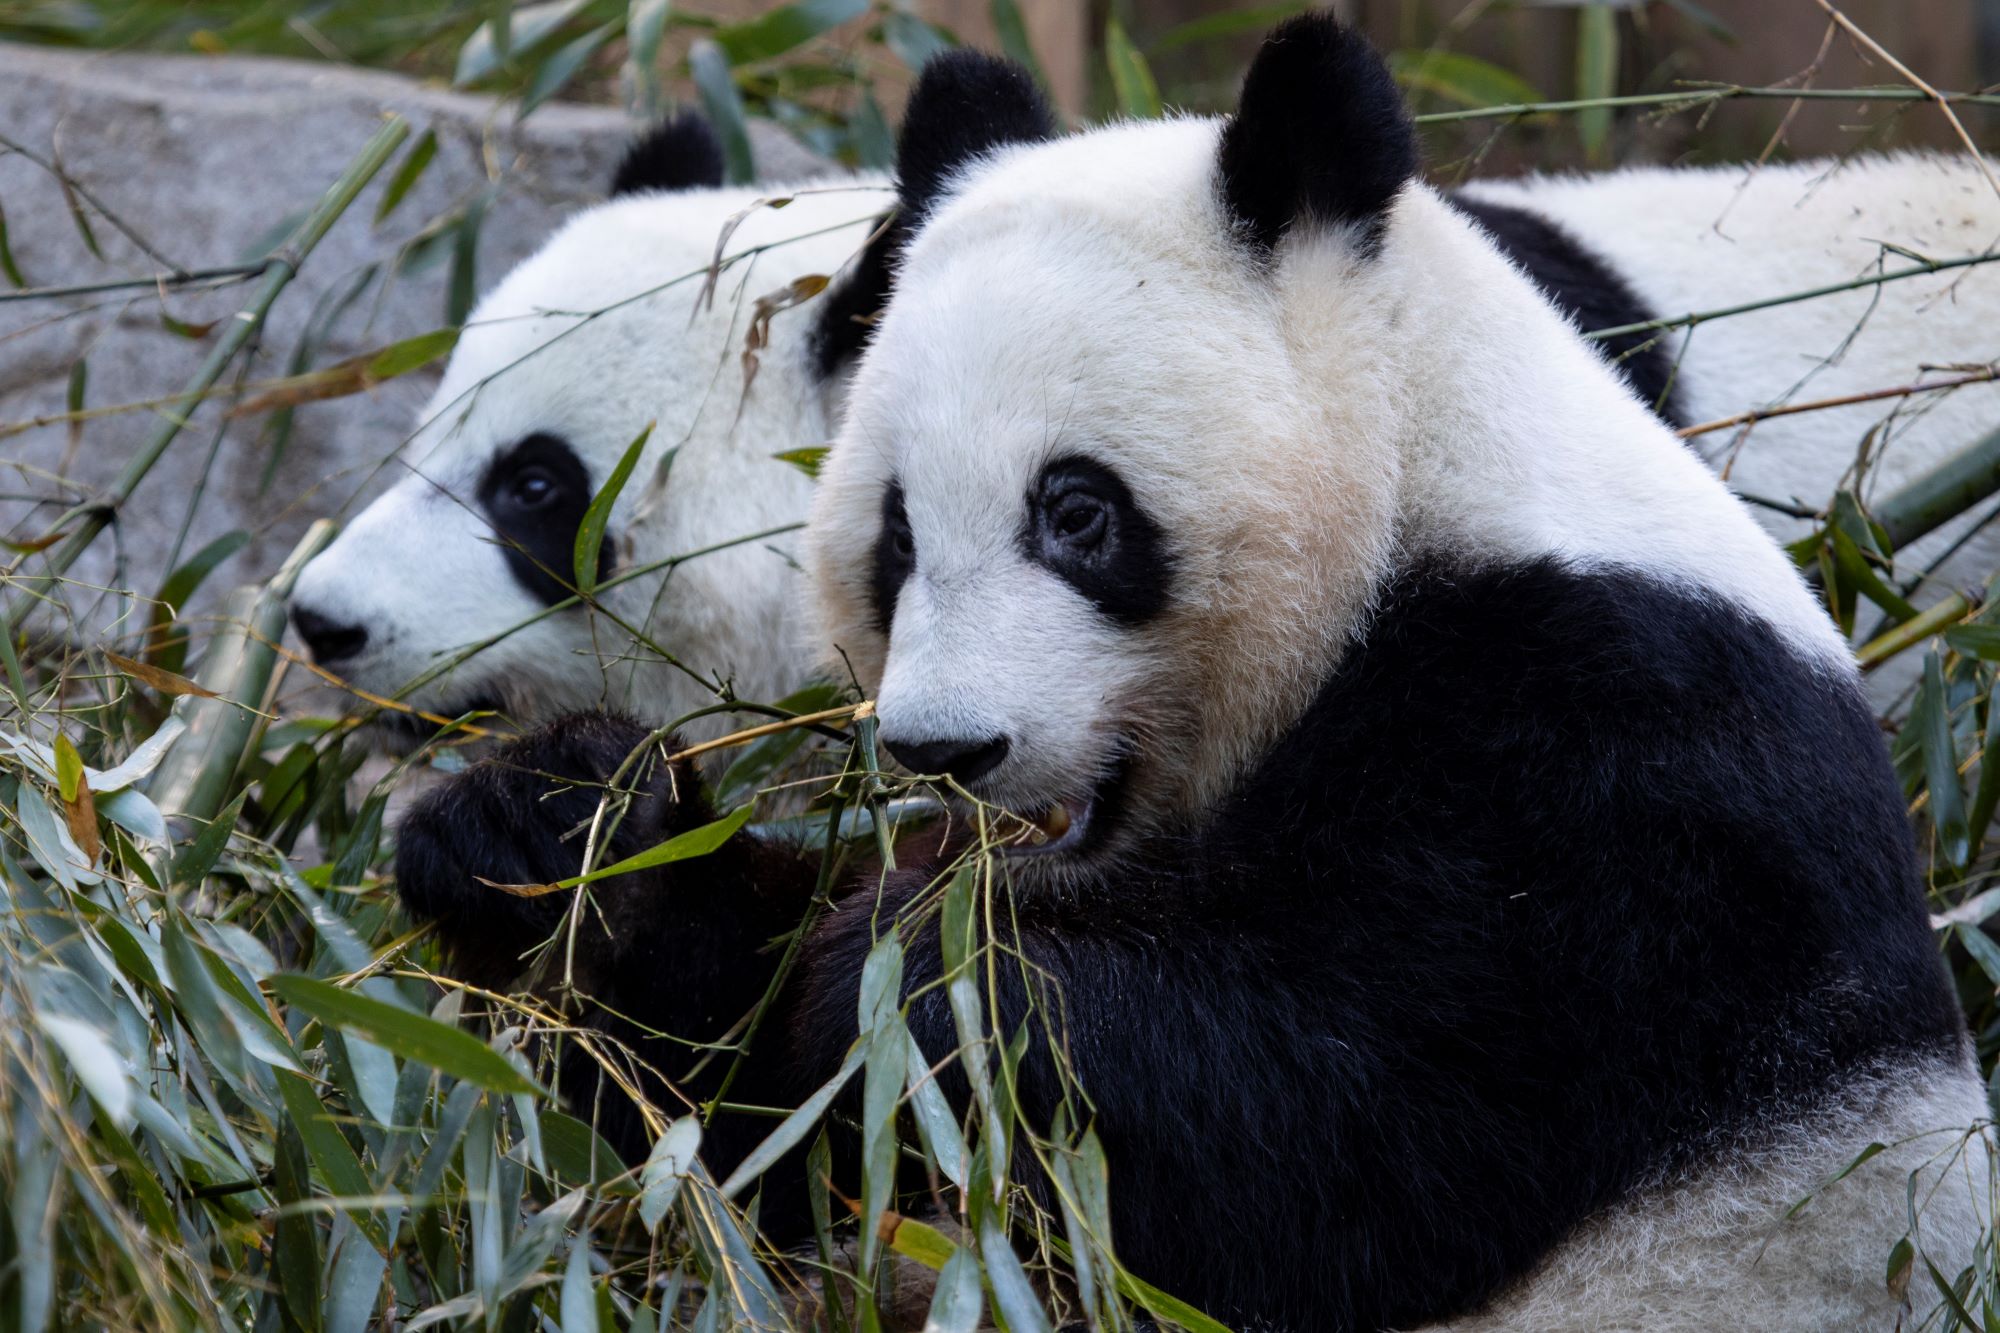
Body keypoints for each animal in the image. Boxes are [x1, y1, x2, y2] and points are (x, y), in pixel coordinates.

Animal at [393, 16, 1991, 1332]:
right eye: (894, 533)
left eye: (1076, 513)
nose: (943, 752)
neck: (1416, 502)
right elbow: (747, 1141)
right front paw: (544, 832)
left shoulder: (1625, 775)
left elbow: (1346, 1122)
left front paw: (935, 980)